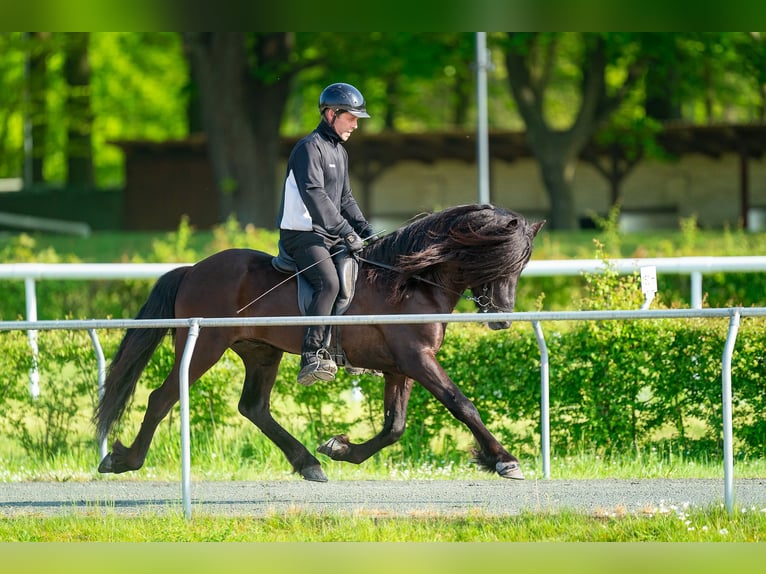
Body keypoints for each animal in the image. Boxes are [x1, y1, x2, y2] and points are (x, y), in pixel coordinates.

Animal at [96, 205, 544, 484]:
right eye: (499, 261)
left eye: (521, 265)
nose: (502, 317)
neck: (409, 280)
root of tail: (193, 269)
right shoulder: (417, 359)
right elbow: (461, 404)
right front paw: (504, 460)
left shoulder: (400, 366)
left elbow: (394, 426)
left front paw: (339, 448)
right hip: (205, 345)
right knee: (162, 397)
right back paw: (123, 459)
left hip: (262, 352)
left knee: (253, 407)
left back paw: (308, 462)